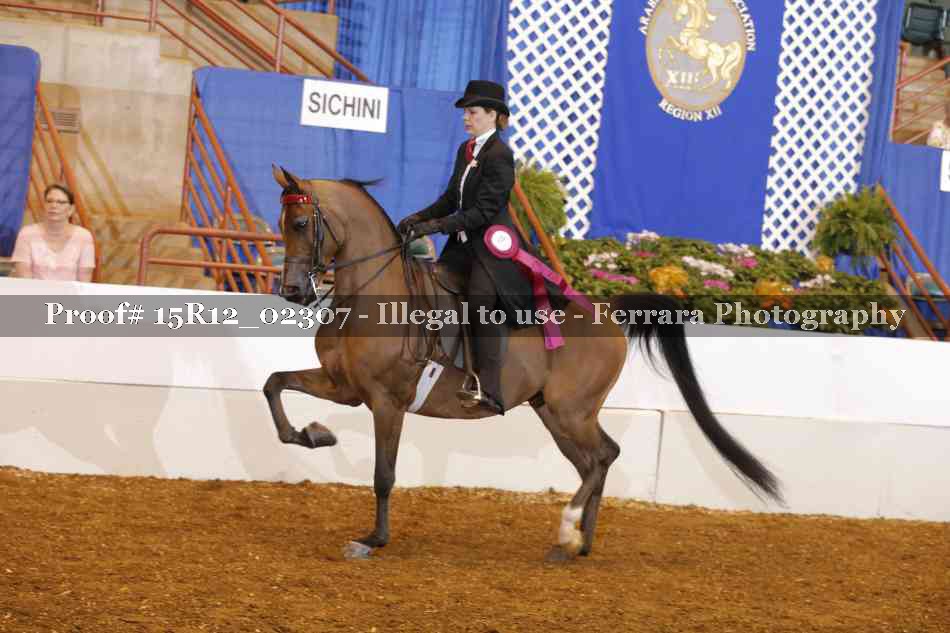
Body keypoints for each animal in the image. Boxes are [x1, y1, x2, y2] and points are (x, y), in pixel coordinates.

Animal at [263, 165, 783, 561]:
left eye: (301, 223)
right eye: (281, 221)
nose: (292, 291)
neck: (372, 294)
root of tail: (606, 310)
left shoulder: (386, 400)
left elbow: (383, 475)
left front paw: (373, 539)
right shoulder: (344, 386)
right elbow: (274, 383)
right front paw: (313, 435)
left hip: (572, 412)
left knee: (602, 458)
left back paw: (569, 529)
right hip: (553, 413)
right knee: (597, 459)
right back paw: (577, 544)